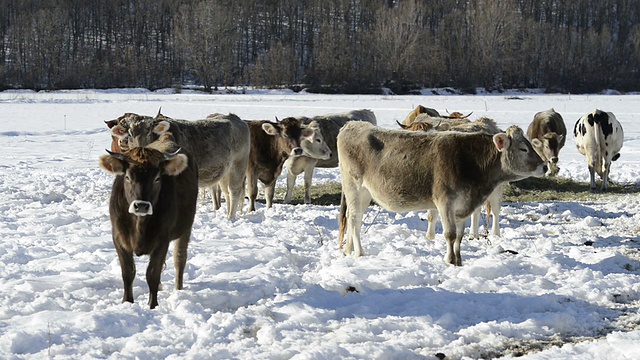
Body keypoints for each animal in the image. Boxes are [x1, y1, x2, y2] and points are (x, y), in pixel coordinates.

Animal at [97, 138, 196, 310]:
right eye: (128, 177)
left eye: (157, 178)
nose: (141, 206)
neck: (139, 224)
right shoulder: (118, 238)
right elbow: (128, 272)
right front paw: (127, 302)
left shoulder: (162, 240)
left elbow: (152, 274)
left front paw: (152, 305)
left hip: (185, 229)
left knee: (180, 258)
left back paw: (178, 288)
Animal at [336, 122, 544, 266]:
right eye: (523, 148)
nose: (544, 166)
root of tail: (352, 124)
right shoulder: (445, 202)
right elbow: (450, 234)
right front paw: (449, 260)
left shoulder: (463, 205)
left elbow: (459, 235)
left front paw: (459, 261)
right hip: (354, 187)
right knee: (354, 219)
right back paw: (359, 253)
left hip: (365, 193)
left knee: (354, 219)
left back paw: (348, 250)